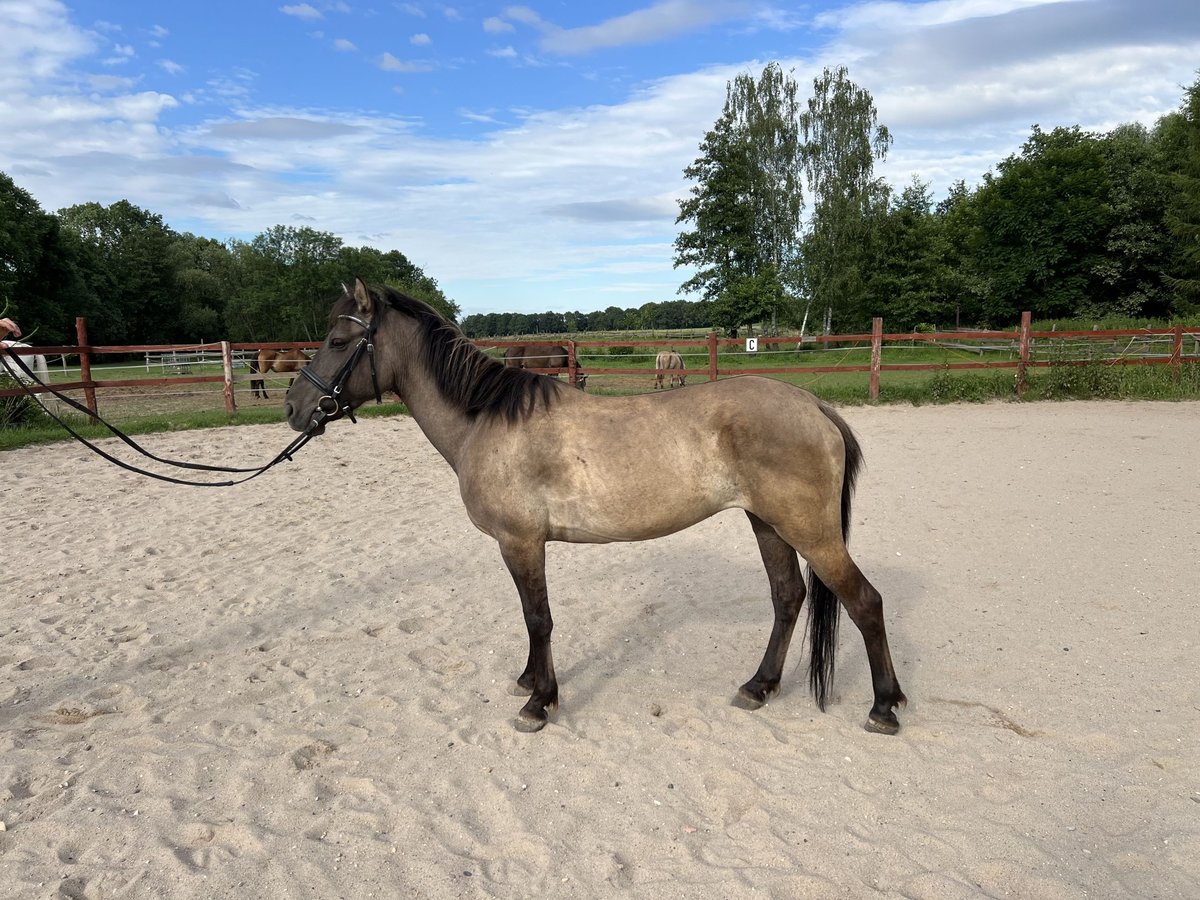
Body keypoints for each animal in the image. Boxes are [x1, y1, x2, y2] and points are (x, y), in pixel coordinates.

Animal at [285, 283, 902, 739]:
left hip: (809, 531)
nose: (294, 406)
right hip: (768, 524)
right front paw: (529, 681)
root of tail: (814, 405)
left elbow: (538, 618)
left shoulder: (520, 543)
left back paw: (884, 707)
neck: (487, 419)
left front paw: (539, 702)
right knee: (787, 598)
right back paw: (758, 687)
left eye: (339, 339)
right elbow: (532, 620)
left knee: (865, 602)